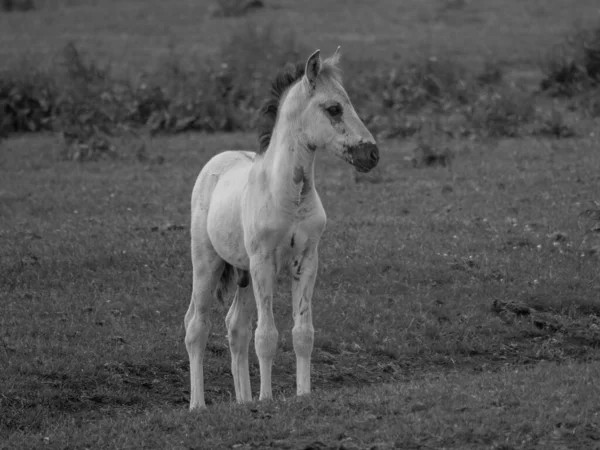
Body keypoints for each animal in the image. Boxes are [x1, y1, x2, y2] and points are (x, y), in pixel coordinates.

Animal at [184, 47, 380, 410]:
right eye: (334, 108)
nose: (372, 154)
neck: (288, 196)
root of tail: (218, 160)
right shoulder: (263, 263)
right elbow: (266, 335)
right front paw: (267, 398)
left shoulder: (307, 260)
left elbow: (302, 333)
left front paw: (303, 394)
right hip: (207, 262)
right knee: (196, 325)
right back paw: (198, 405)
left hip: (244, 273)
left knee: (235, 326)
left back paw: (243, 402)